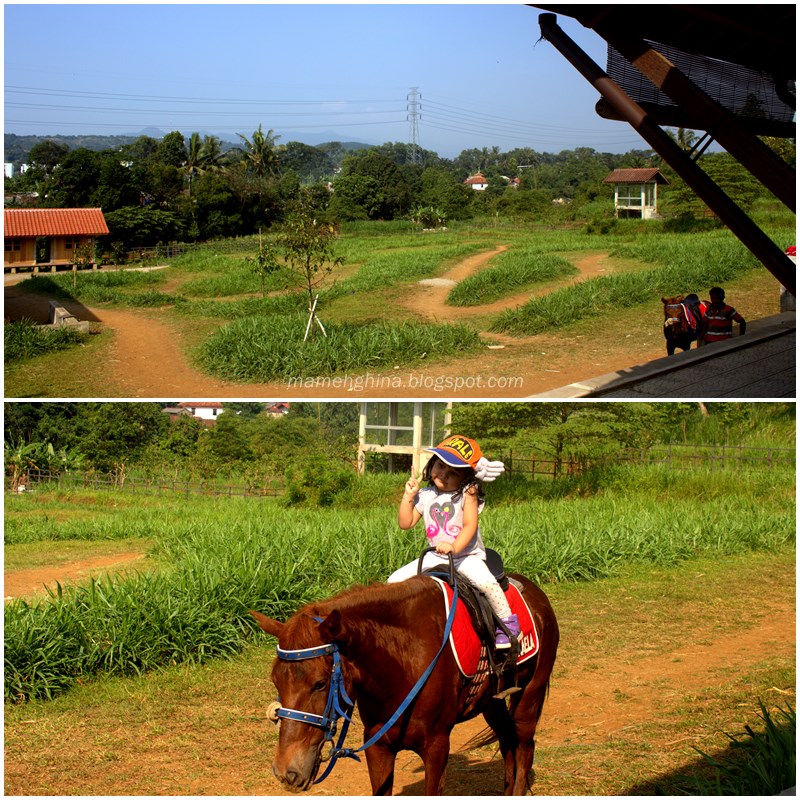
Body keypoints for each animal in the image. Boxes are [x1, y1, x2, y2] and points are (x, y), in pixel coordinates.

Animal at [253, 572, 560, 796]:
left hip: (529, 696)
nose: (286, 771)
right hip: (491, 703)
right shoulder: (378, 747)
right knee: (508, 741)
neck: (403, 664)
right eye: (276, 682)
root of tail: (536, 593)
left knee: (524, 746)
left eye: (319, 683)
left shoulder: (437, 748)